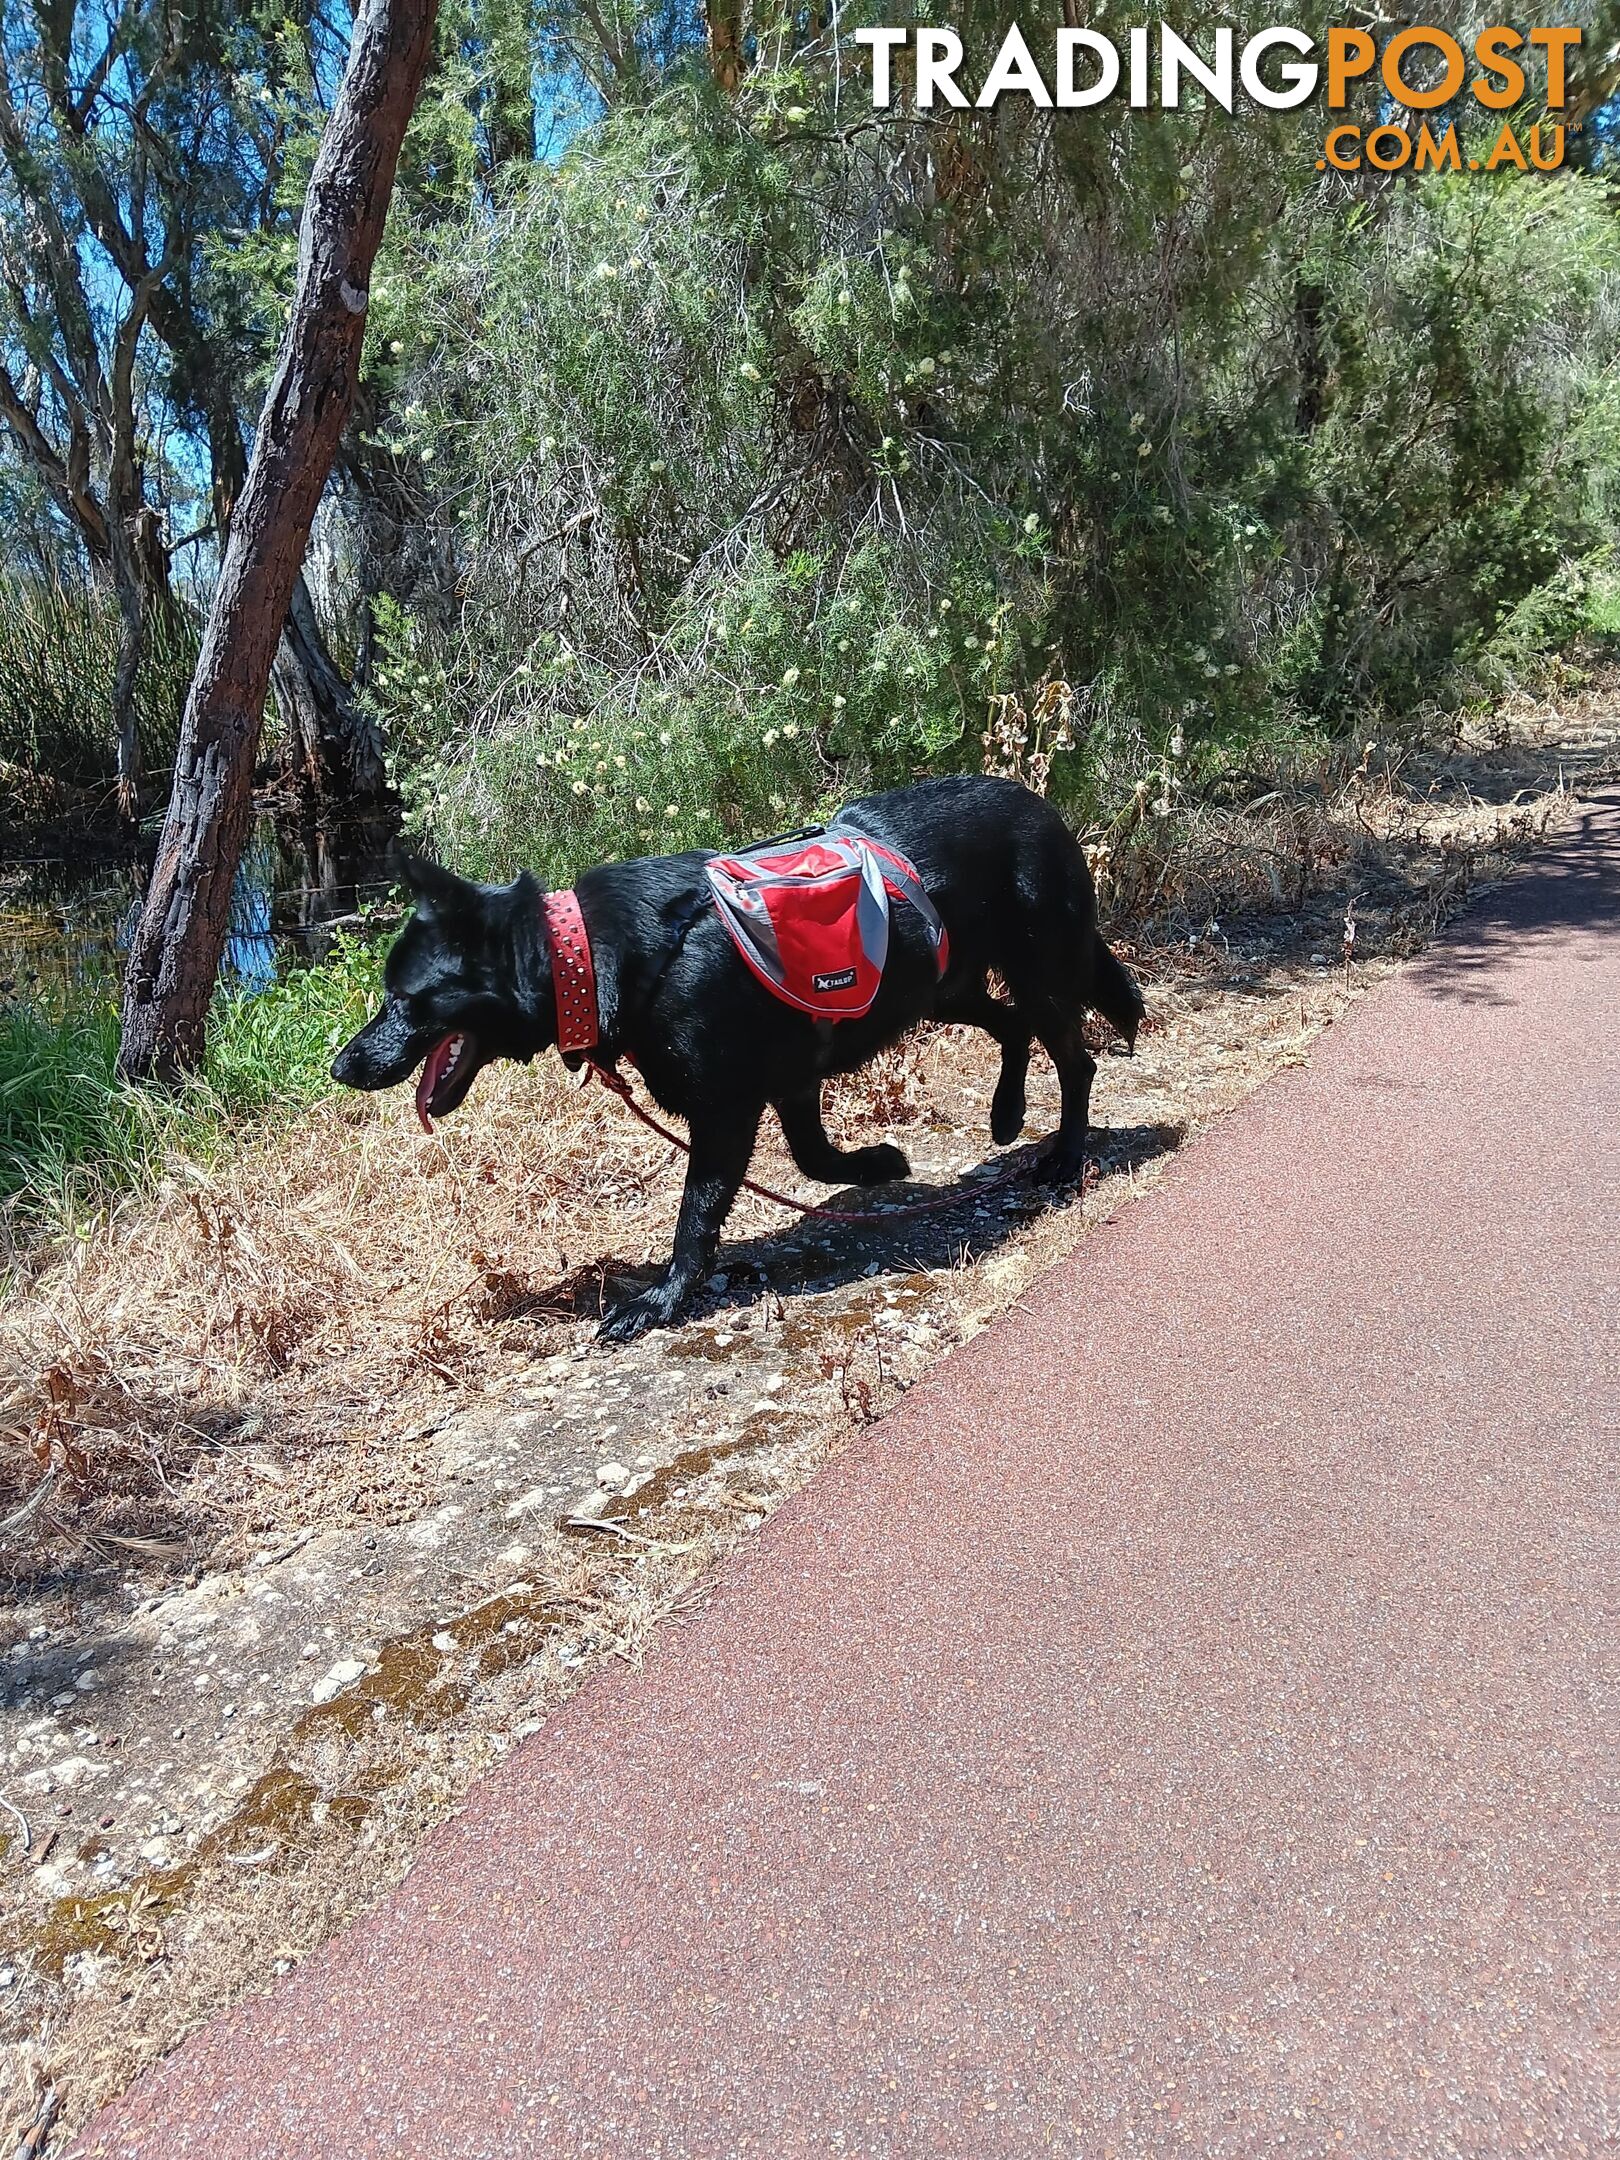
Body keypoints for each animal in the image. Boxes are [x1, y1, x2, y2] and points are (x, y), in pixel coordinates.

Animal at [332, 777, 1140, 1339]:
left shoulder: (727, 1108)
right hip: (941, 987)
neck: (593, 956)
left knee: (1075, 1059)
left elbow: (697, 1212)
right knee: (1012, 1026)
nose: (341, 1068)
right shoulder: (788, 1084)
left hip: (1034, 975)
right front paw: (878, 1164)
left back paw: (1066, 1156)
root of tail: (1041, 807)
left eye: (403, 998)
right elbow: (814, 1157)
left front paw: (663, 1299)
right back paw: (1006, 1115)